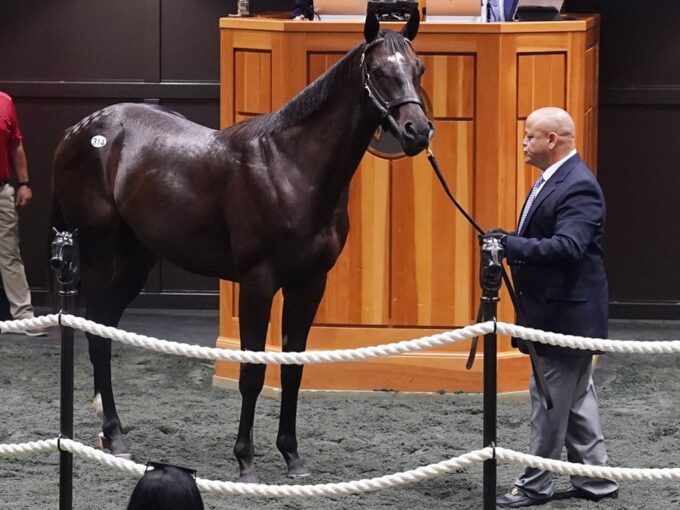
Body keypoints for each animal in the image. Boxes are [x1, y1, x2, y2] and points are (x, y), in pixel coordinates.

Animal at [51, 11, 430, 482]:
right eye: (379, 72)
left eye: (419, 69)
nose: (418, 131)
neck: (290, 168)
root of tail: (80, 129)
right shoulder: (257, 283)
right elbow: (252, 372)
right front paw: (246, 461)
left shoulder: (309, 283)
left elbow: (293, 369)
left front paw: (292, 456)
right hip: (103, 257)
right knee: (97, 335)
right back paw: (116, 437)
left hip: (135, 261)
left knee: (103, 327)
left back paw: (112, 434)